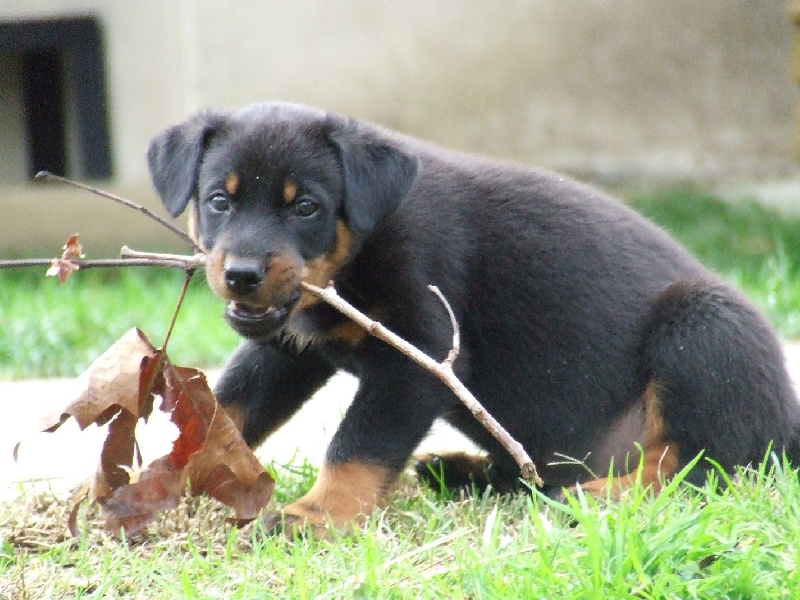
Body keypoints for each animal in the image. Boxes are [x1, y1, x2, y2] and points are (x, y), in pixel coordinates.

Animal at [145, 103, 800, 540]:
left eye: (306, 206)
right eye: (219, 200)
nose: (243, 275)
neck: (365, 244)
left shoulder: (418, 356)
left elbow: (355, 446)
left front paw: (316, 514)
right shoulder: (286, 349)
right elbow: (226, 408)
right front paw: (150, 483)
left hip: (704, 324)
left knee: (704, 466)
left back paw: (596, 496)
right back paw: (462, 471)